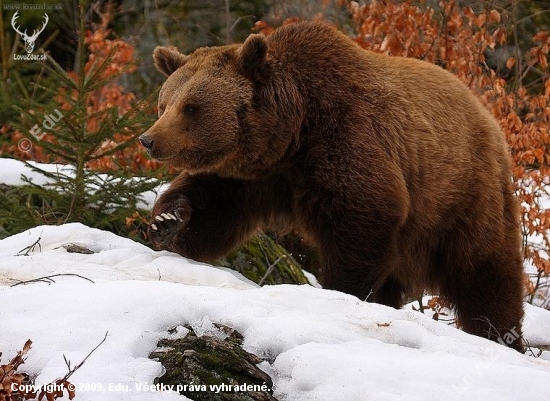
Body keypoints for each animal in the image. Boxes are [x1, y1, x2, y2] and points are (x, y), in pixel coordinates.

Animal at [141, 21, 528, 350]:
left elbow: (361, 221)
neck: (292, 134)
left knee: (485, 269)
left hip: (462, 192)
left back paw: (500, 334)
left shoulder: (348, 139)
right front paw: (168, 222)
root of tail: (486, 114)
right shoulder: (252, 176)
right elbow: (211, 210)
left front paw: (341, 291)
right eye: (164, 103)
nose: (149, 139)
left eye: (192, 107)